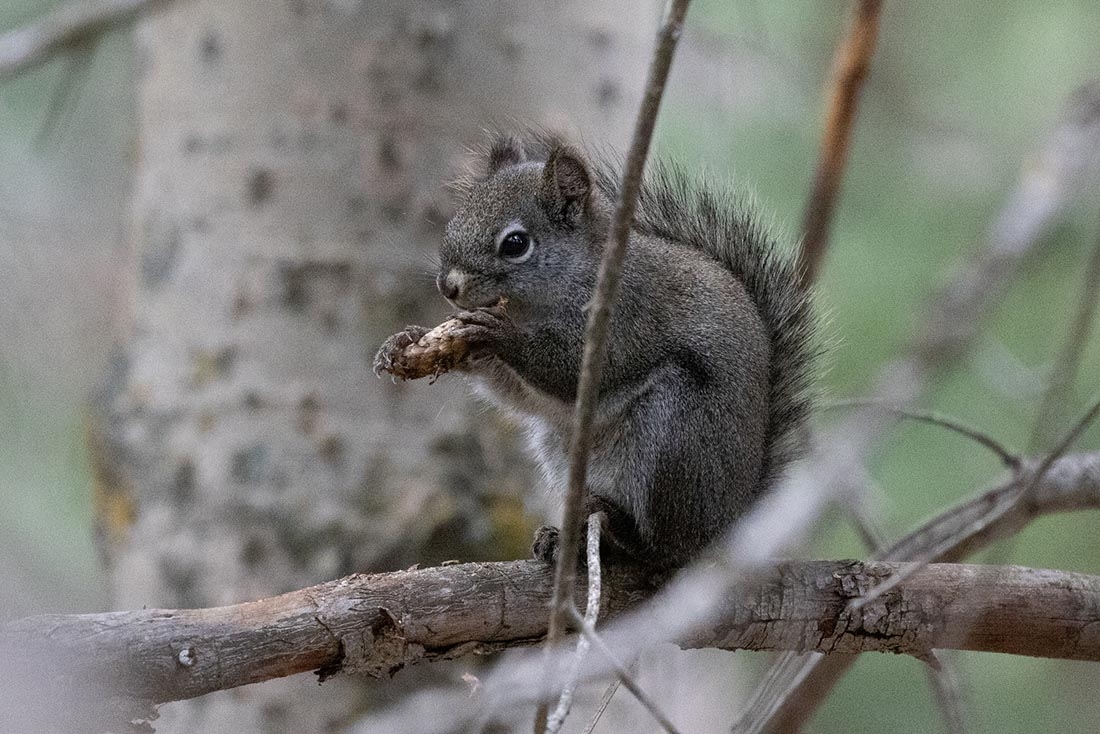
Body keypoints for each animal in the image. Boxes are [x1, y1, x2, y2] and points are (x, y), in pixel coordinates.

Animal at [382, 132, 815, 569]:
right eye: (455, 221)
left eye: (516, 244)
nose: (447, 287)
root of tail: (726, 528)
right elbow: (518, 393)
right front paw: (408, 341)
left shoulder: (625, 312)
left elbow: (575, 371)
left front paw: (497, 333)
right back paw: (567, 538)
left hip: (676, 435)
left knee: (665, 548)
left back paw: (626, 534)